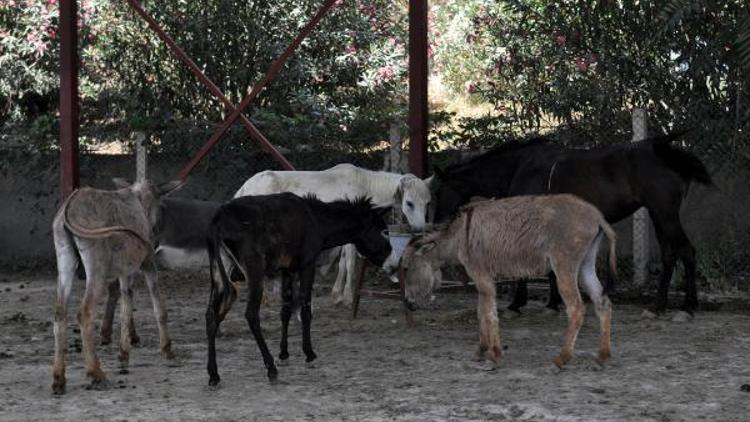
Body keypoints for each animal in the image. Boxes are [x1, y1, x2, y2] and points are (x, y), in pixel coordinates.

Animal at [235, 163, 434, 304]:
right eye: (409, 203)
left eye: (427, 203)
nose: (419, 230)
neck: (363, 186)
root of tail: (245, 187)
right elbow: (350, 262)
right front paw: (347, 297)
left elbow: (343, 262)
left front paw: (337, 294)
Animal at [432, 134, 712, 314]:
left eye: (438, 191)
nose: (435, 221)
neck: (518, 167)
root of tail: (664, 152)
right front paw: (553, 301)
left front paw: (518, 302)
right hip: (659, 215)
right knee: (670, 254)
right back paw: (662, 305)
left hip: (664, 214)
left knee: (685, 251)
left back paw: (685, 306)